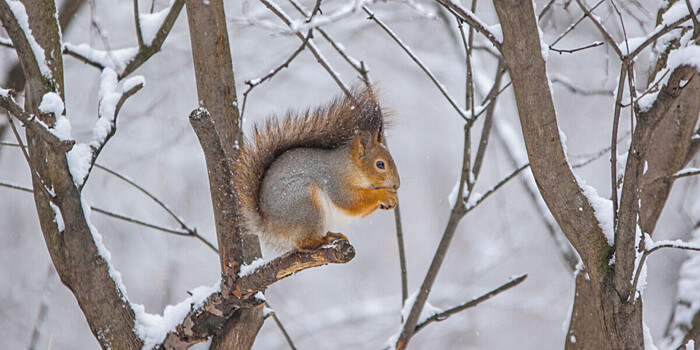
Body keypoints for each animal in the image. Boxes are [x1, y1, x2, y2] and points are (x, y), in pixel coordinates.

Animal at [234, 87, 400, 252]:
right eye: (380, 164)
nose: (396, 185)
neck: (351, 167)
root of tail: (268, 226)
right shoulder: (336, 181)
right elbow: (350, 202)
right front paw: (383, 194)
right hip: (307, 206)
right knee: (304, 243)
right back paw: (323, 239)